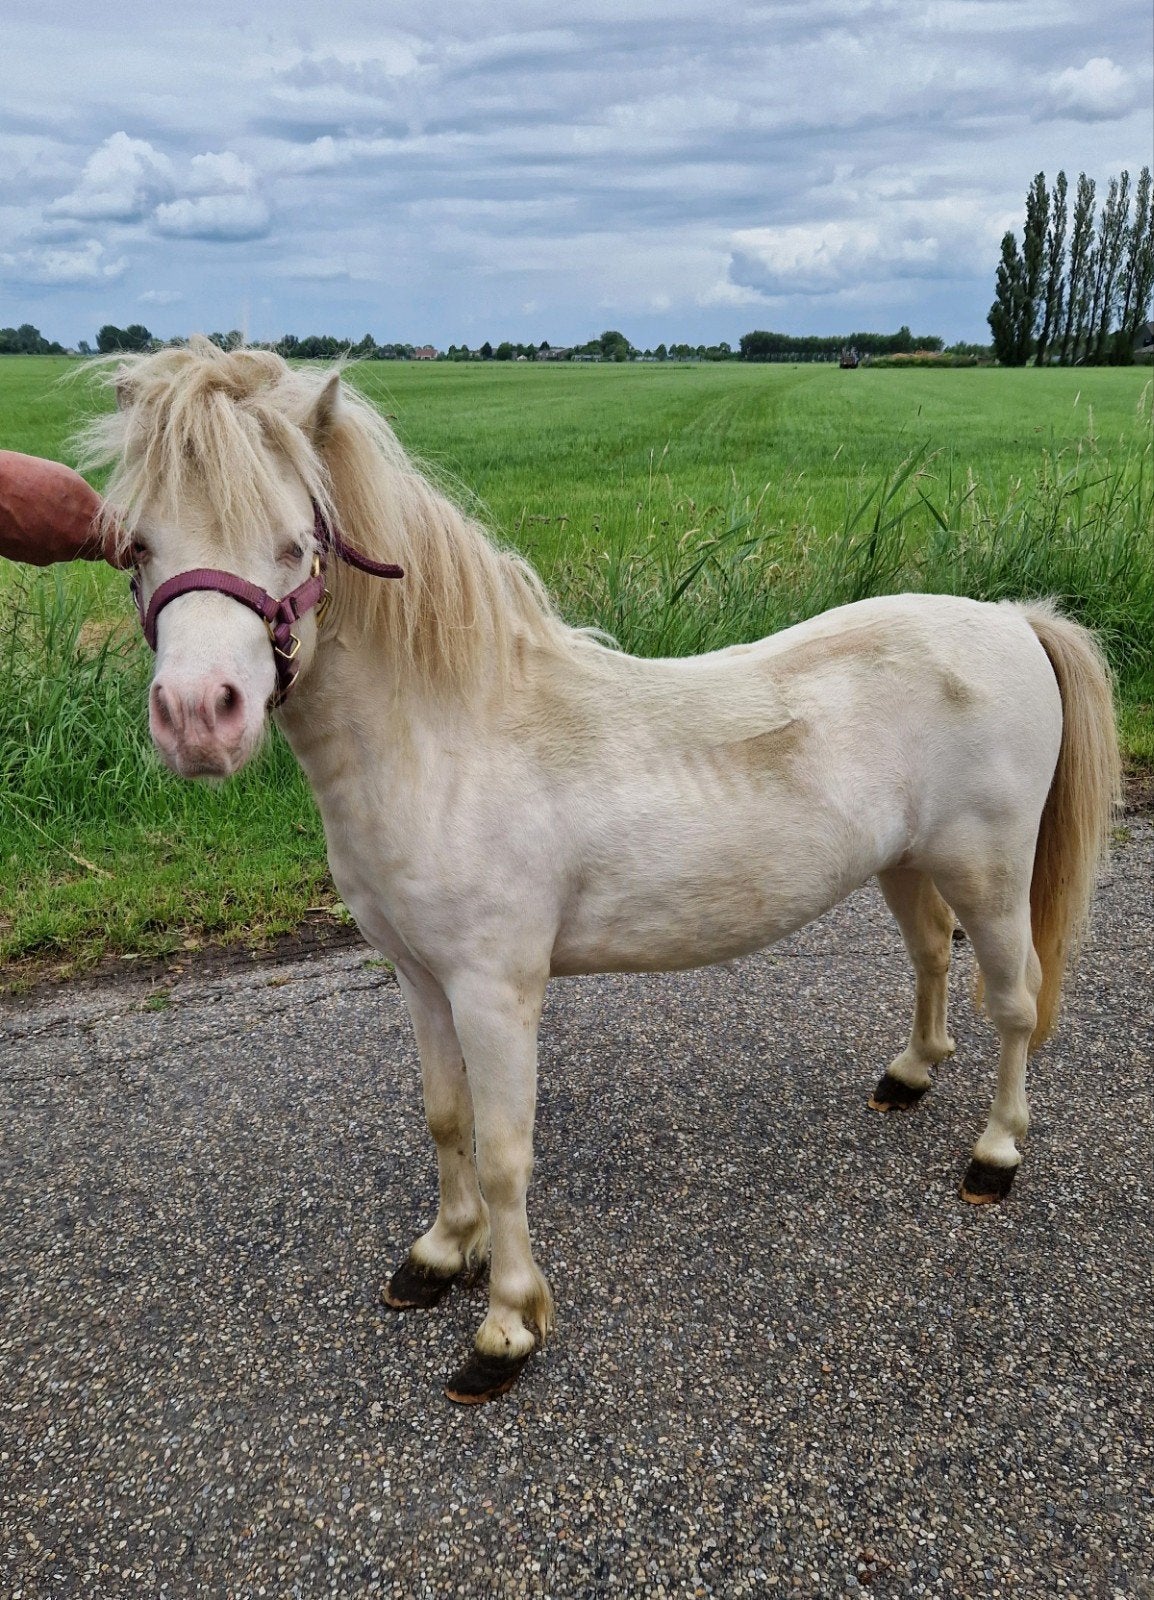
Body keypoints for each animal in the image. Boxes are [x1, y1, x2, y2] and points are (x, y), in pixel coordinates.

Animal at [78, 339, 1121, 1403]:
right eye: (138, 547)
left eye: (295, 545)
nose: (198, 717)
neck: (451, 738)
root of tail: (1012, 620)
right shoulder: (420, 977)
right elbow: (446, 1118)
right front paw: (440, 1255)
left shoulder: (496, 989)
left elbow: (504, 1154)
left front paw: (505, 1327)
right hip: (908, 863)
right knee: (930, 958)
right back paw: (909, 1074)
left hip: (990, 872)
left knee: (1016, 1002)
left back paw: (996, 1152)